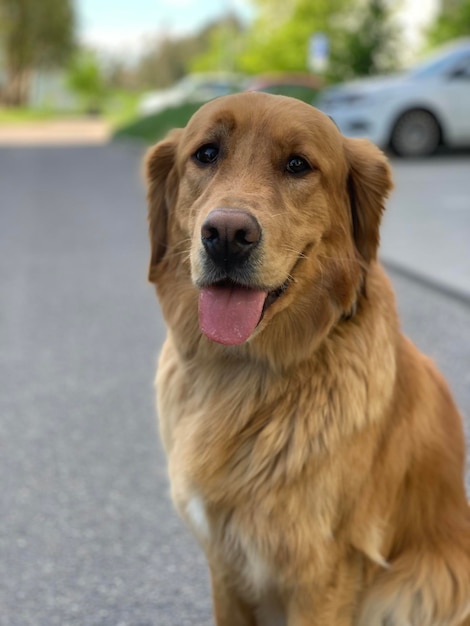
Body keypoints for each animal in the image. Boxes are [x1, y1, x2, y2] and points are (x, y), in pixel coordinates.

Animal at [145, 92, 468, 624]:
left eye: (298, 165)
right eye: (206, 154)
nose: (227, 234)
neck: (246, 373)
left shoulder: (323, 575)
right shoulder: (224, 564)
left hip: (419, 584)